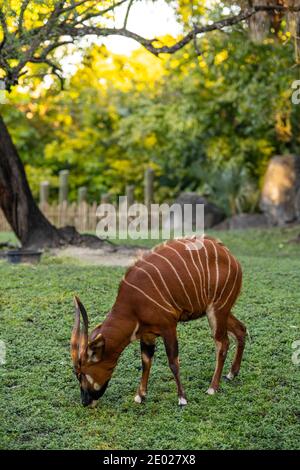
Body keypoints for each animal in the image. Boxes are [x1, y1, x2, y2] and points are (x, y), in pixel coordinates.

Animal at [71, 237, 246, 406]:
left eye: (81, 373)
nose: (85, 402)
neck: (133, 305)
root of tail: (231, 257)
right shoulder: (147, 334)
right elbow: (146, 361)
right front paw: (140, 396)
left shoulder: (169, 327)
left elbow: (173, 362)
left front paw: (182, 399)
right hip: (221, 311)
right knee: (241, 329)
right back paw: (231, 374)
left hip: (217, 310)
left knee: (222, 343)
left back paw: (212, 388)